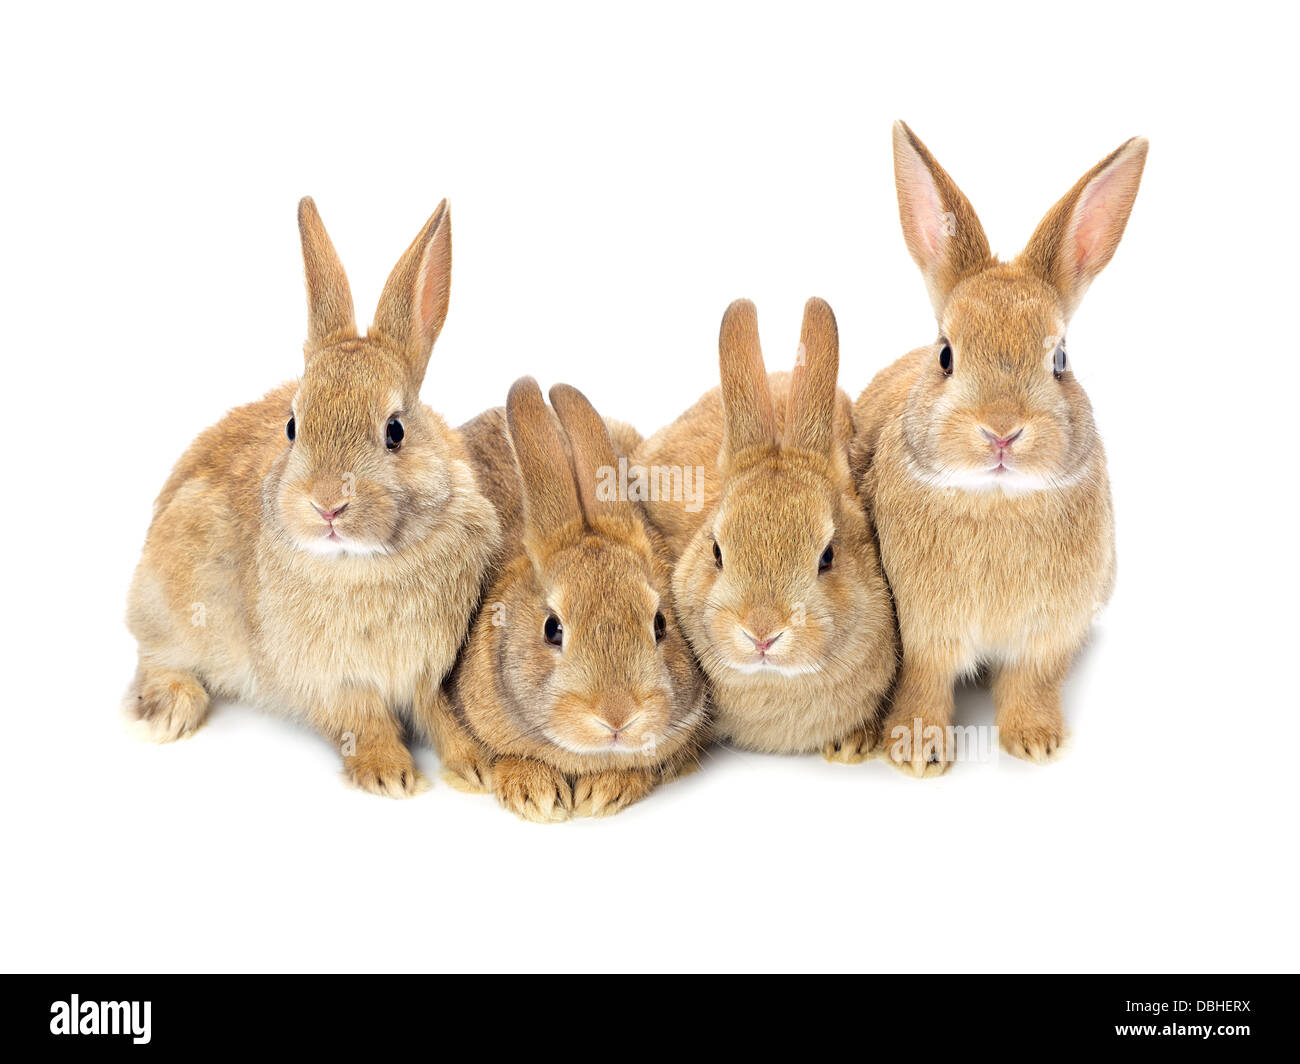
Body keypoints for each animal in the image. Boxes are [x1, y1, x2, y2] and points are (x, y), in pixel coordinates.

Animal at [124, 199, 501, 796]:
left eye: (395, 431)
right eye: (293, 426)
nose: (327, 506)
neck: (364, 562)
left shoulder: (430, 668)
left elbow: (443, 715)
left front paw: (478, 767)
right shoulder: (331, 680)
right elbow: (362, 720)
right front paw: (390, 775)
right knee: (155, 655)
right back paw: (171, 710)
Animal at [852, 124, 1149, 775]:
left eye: (1060, 358)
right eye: (945, 354)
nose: (1002, 431)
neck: (997, 498)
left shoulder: (1048, 635)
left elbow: (1031, 682)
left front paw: (1036, 742)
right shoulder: (923, 635)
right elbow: (923, 686)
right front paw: (917, 753)